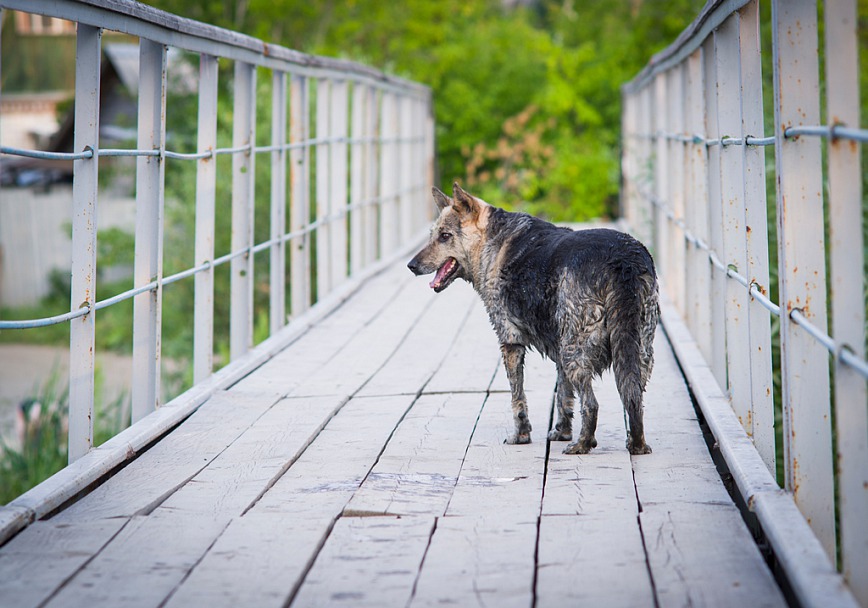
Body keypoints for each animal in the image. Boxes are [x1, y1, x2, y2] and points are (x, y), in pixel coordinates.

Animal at [406, 183, 656, 454]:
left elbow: (518, 398)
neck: (490, 241)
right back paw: (636, 444)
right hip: (637, 353)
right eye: (433, 235)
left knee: (592, 404)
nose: (411, 265)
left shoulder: (511, 343)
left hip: (576, 353)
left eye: (445, 236)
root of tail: (622, 260)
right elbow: (563, 396)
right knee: (634, 399)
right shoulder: (559, 350)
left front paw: (521, 435)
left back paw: (583, 444)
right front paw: (561, 432)